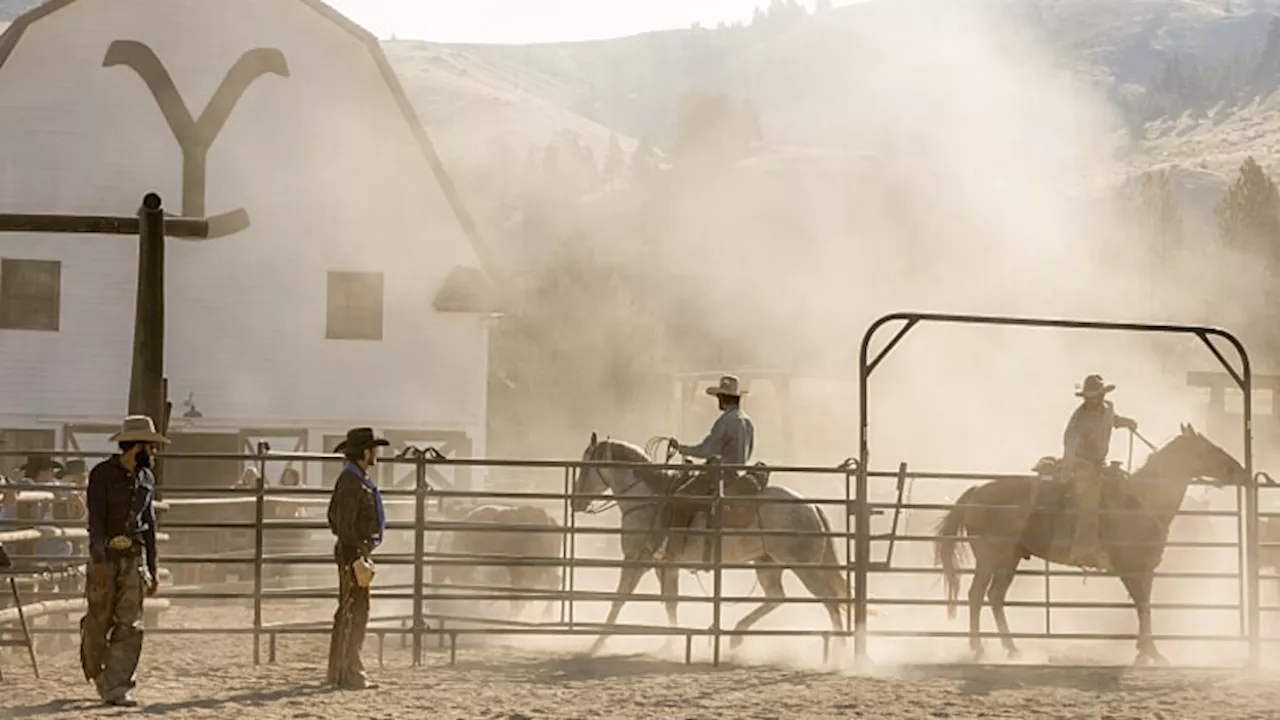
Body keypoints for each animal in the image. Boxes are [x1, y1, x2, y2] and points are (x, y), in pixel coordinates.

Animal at [576, 430, 855, 655]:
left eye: (585, 465)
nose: (577, 501)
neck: (649, 500)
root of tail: (812, 506)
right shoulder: (663, 564)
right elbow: (670, 602)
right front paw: (671, 643)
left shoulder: (636, 559)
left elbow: (619, 600)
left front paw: (596, 643)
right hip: (767, 563)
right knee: (776, 597)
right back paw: (736, 635)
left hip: (805, 566)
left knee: (830, 600)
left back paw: (840, 651)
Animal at [931, 422, 1249, 666]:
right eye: (1209, 449)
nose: (1242, 472)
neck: (1143, 500)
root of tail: (976, 491)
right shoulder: (1132, 568)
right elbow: (1143, 605)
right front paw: (1150, 653)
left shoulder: (1145, 569)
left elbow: (1144, 605)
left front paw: (1146, 651)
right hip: (989, 556)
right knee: (976, 595)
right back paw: (978, 649)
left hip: (1010, 558)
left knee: (995, 596)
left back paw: (1012, 649)